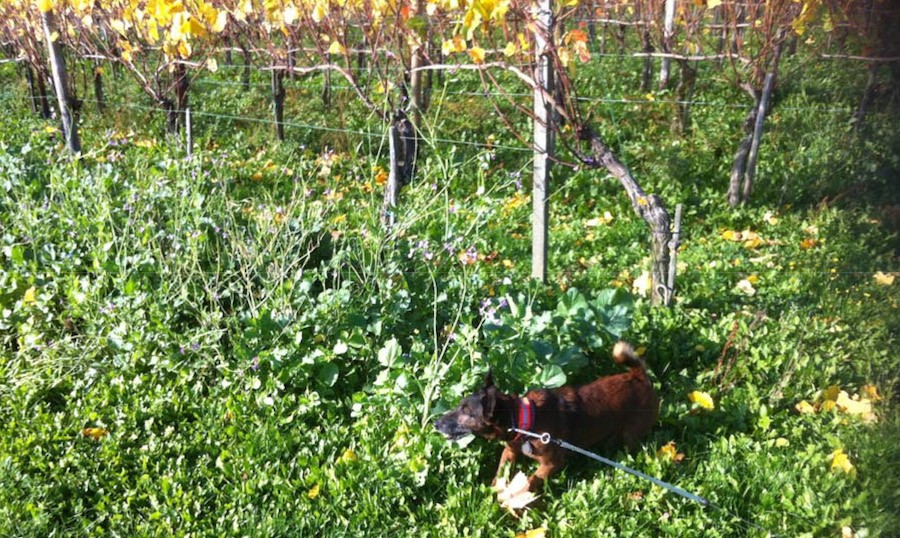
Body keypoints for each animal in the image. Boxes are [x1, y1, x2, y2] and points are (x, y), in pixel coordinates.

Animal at [432, 342, 656, 488]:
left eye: (466, 412)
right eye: (459, 405)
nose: (435, 423)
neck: (523, 420)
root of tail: (639, 376)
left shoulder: (551, 464)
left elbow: (530, 482)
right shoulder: (509, 450)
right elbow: (500, 472)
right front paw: (494, 493)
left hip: (631, 436)